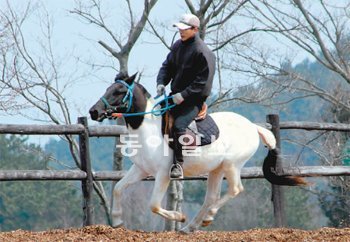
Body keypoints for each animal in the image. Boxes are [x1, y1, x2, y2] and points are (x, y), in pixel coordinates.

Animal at [90, 73, 306, 233]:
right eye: (108, 89)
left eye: (118, 91)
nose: (94, 112)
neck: (148, 129)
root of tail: (253, 127)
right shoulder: (141, 170)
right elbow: (118, 188)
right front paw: (117, 221)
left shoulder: (163, 174)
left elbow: (154, 205)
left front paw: (178, 216)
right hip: (217, 169)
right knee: (211, 197)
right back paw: (191, 226)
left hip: (232, 165)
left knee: (235, 190)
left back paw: (206, 218)